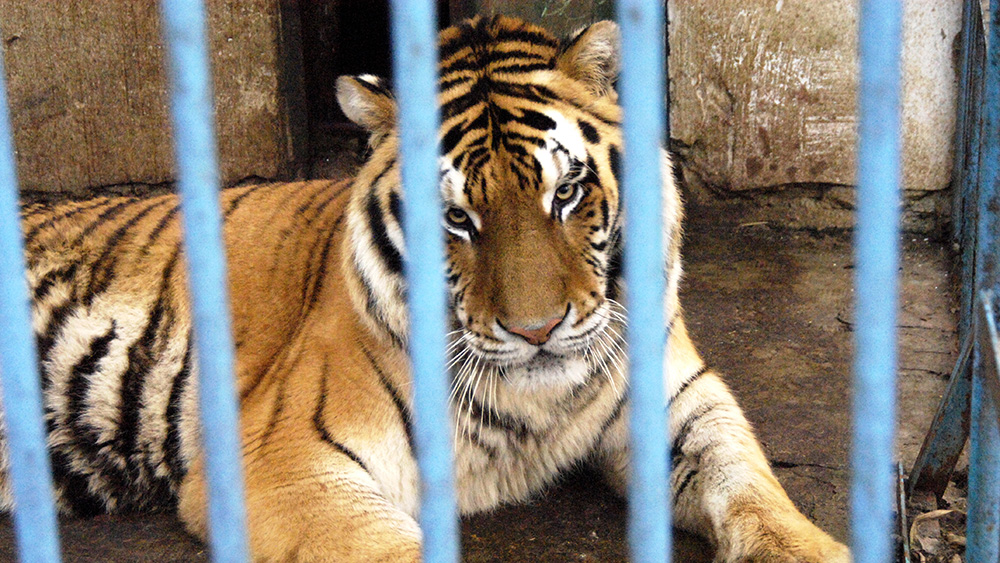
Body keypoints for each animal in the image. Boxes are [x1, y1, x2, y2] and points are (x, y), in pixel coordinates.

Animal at [0, 15, 852, 560]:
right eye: (457, 217)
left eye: (567, 193)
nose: (538, 330)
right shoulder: (285, 463)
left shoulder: (686, 397)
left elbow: (753, 489)